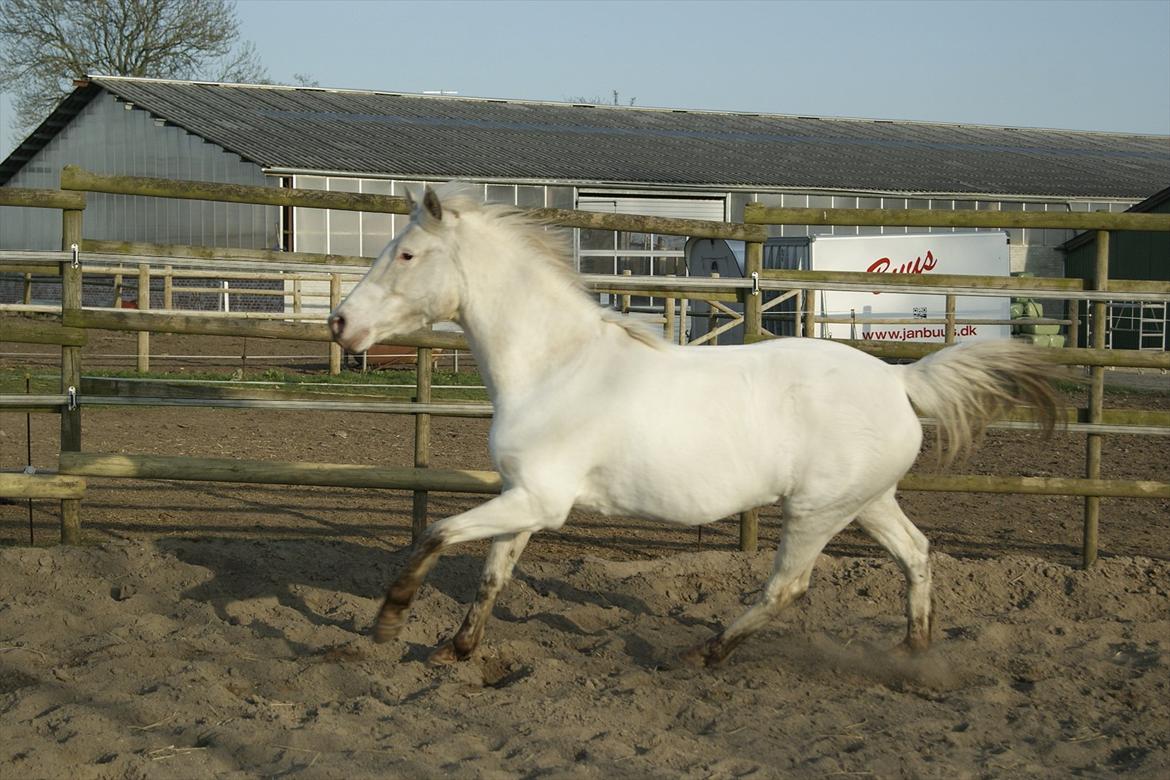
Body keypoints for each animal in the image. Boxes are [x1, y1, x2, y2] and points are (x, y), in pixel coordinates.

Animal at [329, 185, 1062, 668]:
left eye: (406, 255)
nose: (340, 323)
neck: (555, 366)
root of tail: (898, 383)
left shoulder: (542, 499)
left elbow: (435, 533)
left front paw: (388, 625)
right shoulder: (525, 499)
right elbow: (491, 575)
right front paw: (455, 650)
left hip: (817, 510)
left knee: (788, 586)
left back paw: (701, 653)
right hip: (868, 501)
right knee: (916, 554)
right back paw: (913, 653)